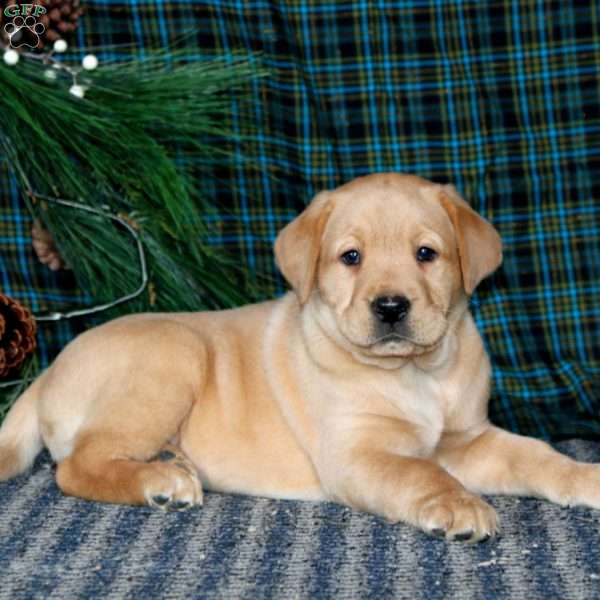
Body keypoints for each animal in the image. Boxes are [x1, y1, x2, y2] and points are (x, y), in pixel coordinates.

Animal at [1, 171, 600, 540]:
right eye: (351, 257)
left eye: (426, 254)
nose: (390, 307)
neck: (415, 372)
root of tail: (47, 370)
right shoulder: (357, 452)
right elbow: (421, 473)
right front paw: (459, 504)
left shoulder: (468, 439)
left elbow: (538, 456)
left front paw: (587, 478)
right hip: (175, 353)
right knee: (75, 465)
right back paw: (160, 483)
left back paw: (170, 462)